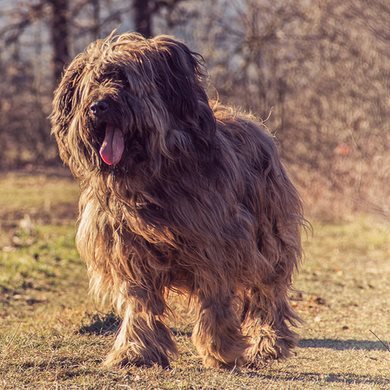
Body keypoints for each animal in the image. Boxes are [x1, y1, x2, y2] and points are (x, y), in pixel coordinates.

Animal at [49, 31, 304, 368]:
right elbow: (139, 302)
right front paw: (136, 349)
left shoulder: (218, 244)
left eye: (125, 81)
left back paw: (269, 342)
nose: (98, 107)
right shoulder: (128, 249)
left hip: (269, 234)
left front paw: (220, 348)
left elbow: (215, 298)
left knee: (267, 291)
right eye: (92, 84)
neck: (150, 178)